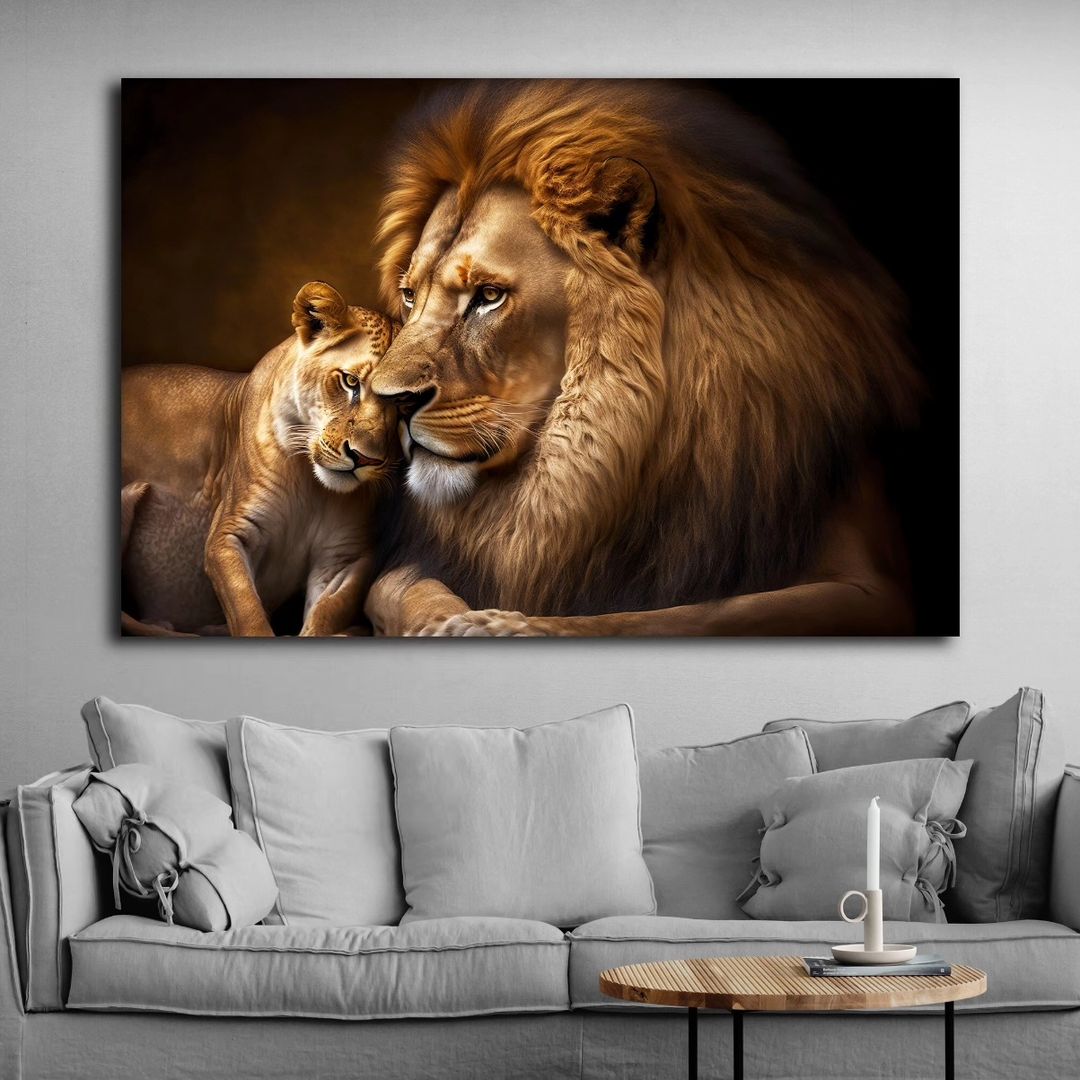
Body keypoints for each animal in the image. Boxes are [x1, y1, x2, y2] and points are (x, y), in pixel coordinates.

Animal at [121, 282, 398, 637]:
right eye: (350, 382)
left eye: (404, 403)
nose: (363, 458)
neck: (310, 487)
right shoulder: (228, 534)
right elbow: (247, 609)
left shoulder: (344, 556)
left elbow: (328, 611)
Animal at [365, 80, 924, 637]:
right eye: (410, 296)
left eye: (488, 296)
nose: (390, 401)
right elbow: (402, 590)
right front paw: (447, 621)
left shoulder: (873, 588)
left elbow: (665, 617)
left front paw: (503, 626)